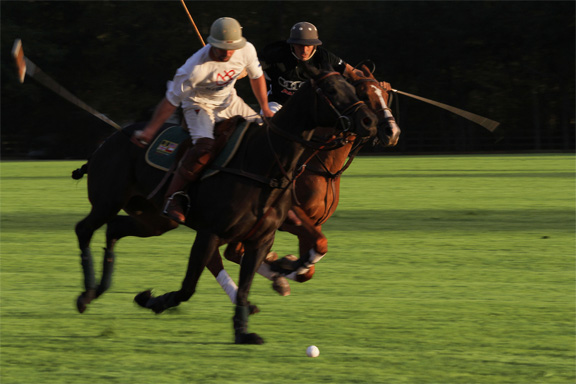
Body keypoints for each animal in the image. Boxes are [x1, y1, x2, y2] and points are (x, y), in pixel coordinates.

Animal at [72, 67, 378, 344]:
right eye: (331, 90)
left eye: (353, 88)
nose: (370, 121)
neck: (265, 164)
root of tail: (110, 140)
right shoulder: (211, 232)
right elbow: (188, 287)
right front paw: (155, 300)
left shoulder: (262, 238)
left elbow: (250, 281)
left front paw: (243, 331)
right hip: (108, 201)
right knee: (84, 229)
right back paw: (86, 294)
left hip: (154, 219)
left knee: (115, 229)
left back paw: (100, 288)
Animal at [206, 65, 400, 300]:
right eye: (362, 94)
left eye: (385, 94)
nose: (392, 132)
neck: (321, 164)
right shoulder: (289, 216)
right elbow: (315, 251)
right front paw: (284, 265)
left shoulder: (315, 222)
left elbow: (309, 267)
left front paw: (284, 266)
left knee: (231, 252)